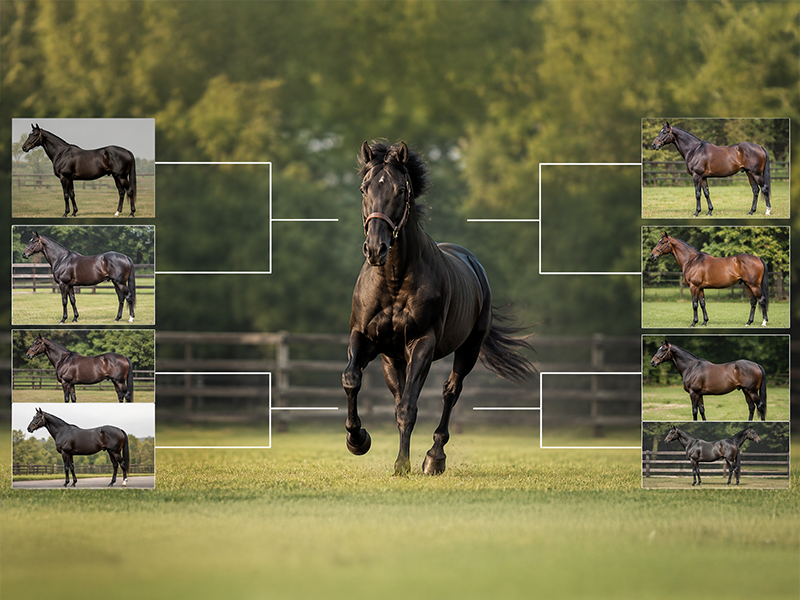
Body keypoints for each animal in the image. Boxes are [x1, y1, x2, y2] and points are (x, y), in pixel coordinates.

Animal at [343, 141, 536, 476]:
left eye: (400, 190)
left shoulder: (423, 343)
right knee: (400, 393)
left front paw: (402, 464)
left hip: (468, 349)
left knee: (450, 392)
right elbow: (352, 378)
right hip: (392, 359)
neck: (393, 280)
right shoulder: (365, 338)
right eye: (364, 188)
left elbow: (408, 407)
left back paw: (435, 457)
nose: (376, 249)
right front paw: (358, 440)